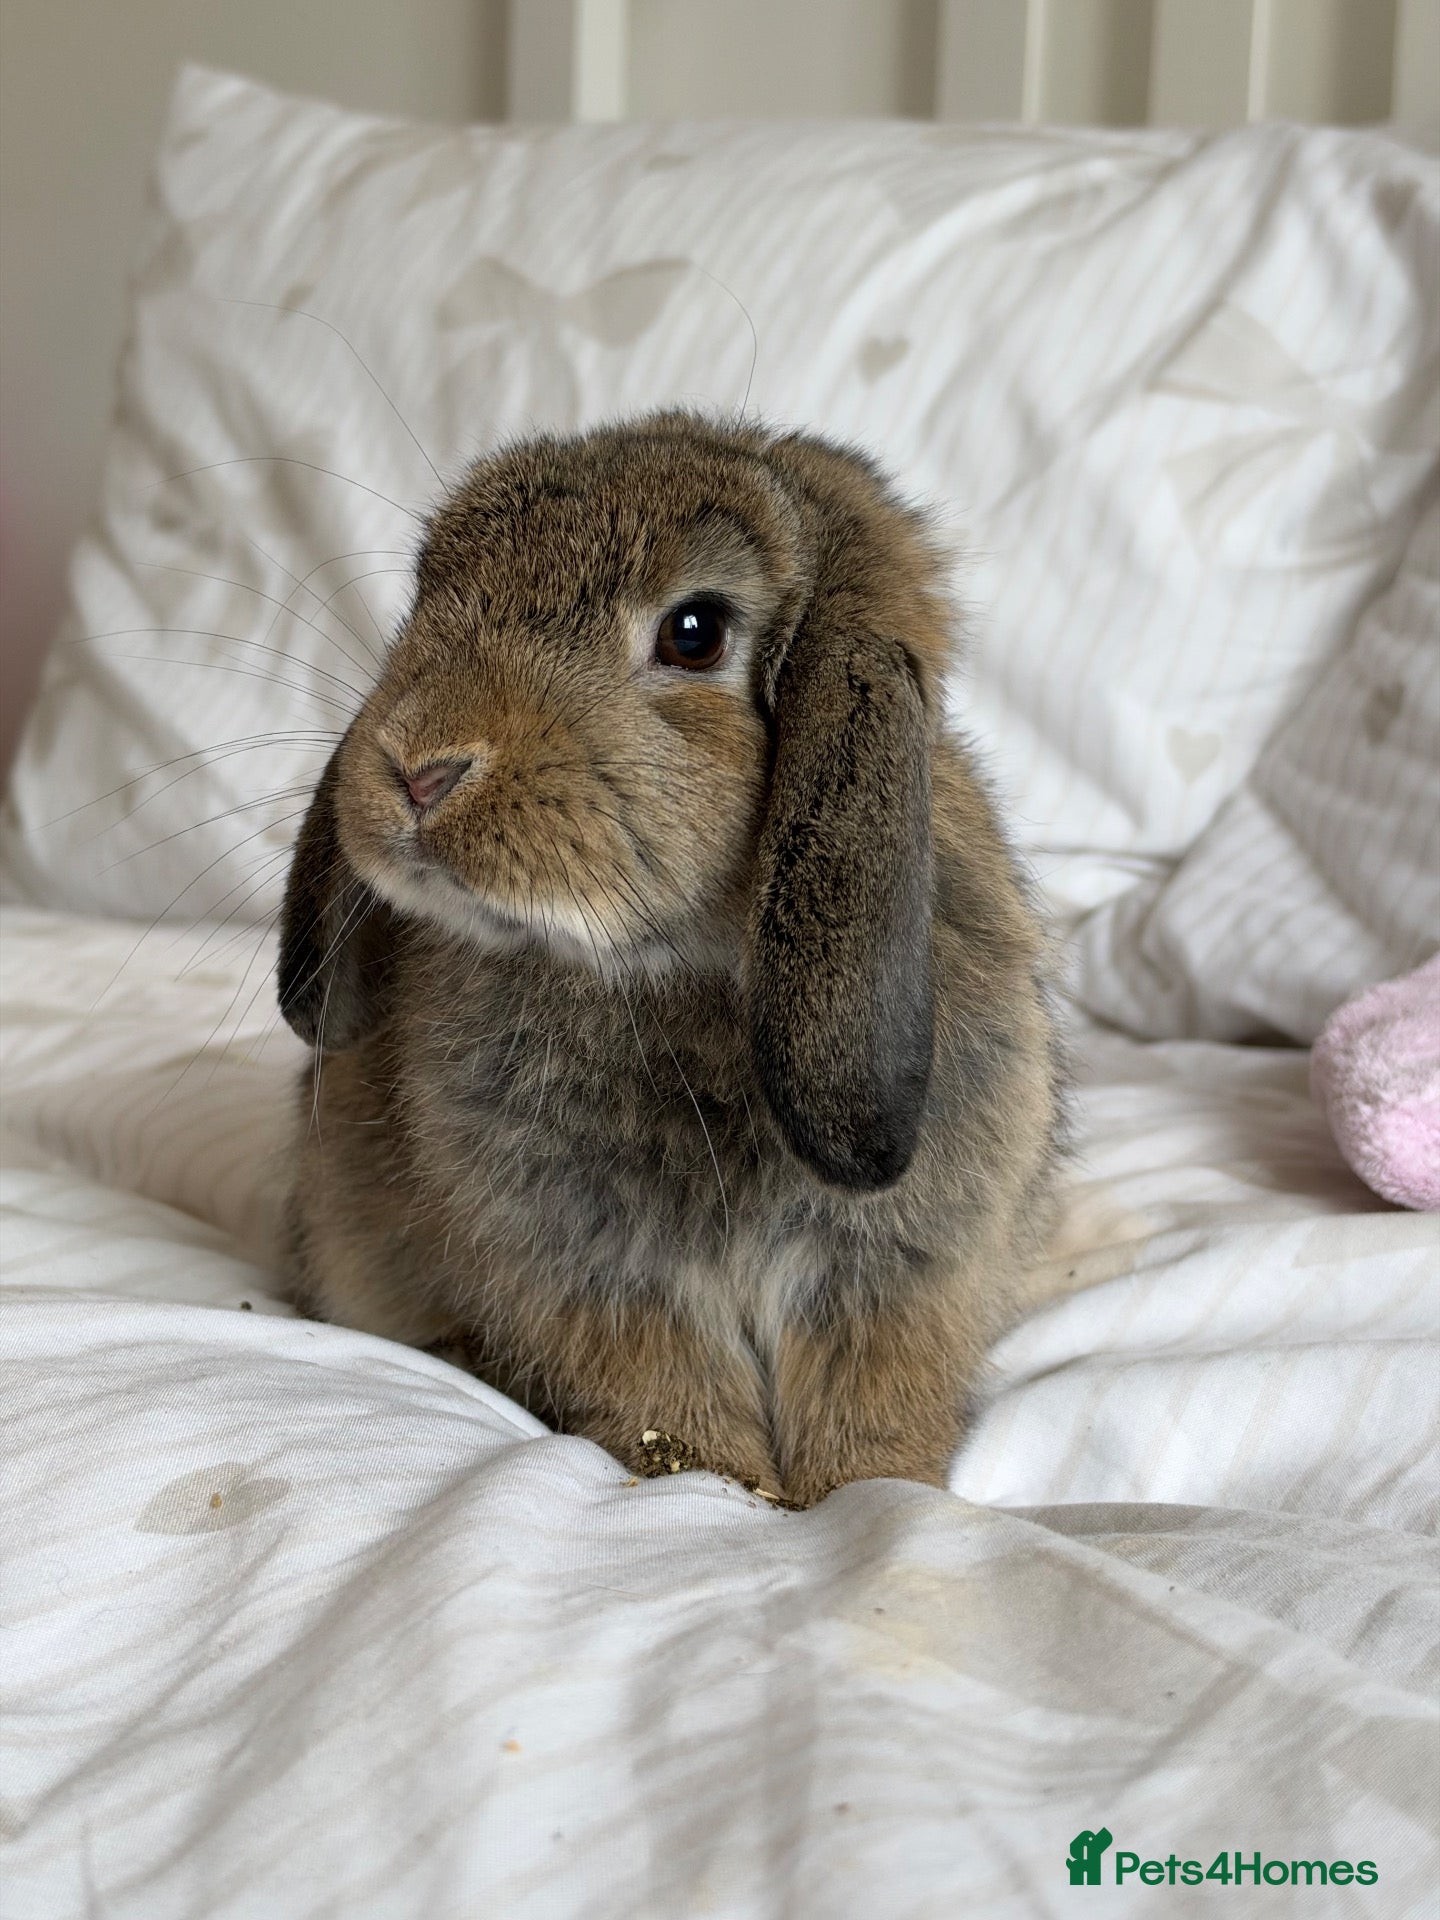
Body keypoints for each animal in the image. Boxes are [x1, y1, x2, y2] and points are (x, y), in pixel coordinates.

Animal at [277, 411, 1064, 1507]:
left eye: (694, 632)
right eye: (428, 594)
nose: (417, 768)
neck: (686, 972)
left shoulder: (889, 1275)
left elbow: (869, 1403)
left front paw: (875, 1492)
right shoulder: (601, 1278)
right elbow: (669, 1399)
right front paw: (722, 1487)